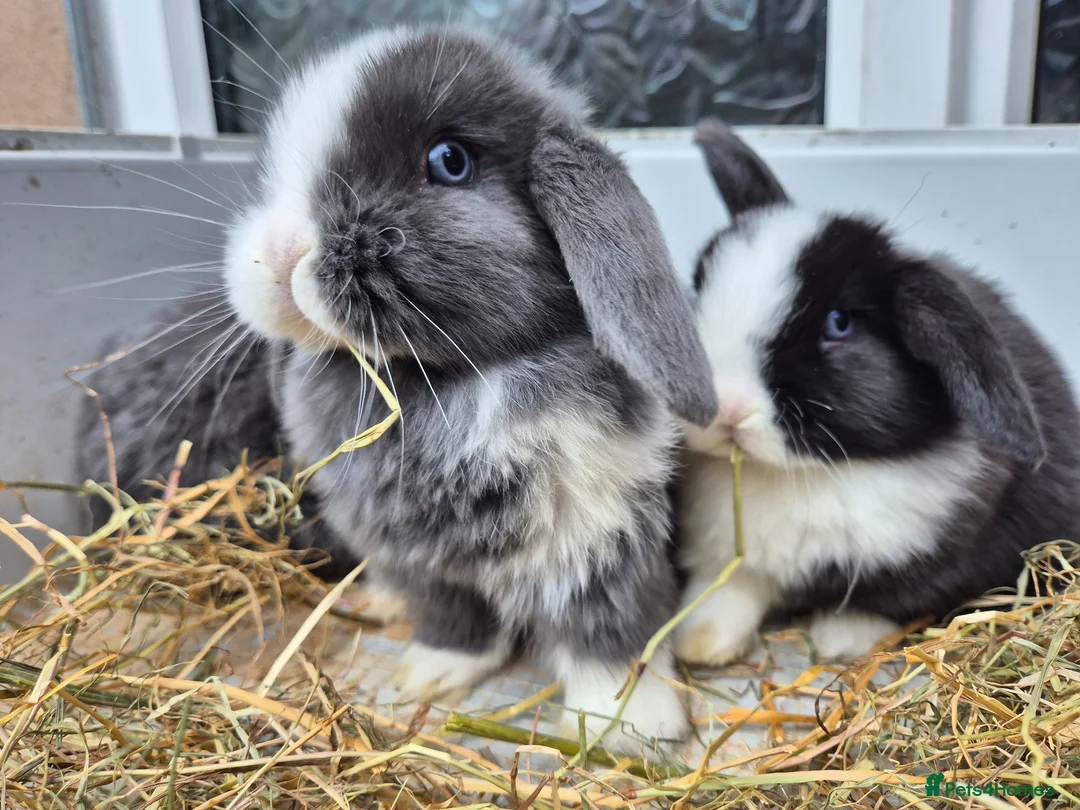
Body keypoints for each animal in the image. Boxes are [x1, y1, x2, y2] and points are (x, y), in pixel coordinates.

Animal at [75, 26, 718, 752]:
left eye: (449, 160)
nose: (280, 252)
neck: (439, 383)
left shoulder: (597, 533)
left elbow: (610, 630)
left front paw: (630, 727)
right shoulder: (417, 559)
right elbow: (454, 620)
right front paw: (431, 676)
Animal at [673, 118, 1080, 666]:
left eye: (839, 323)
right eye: (697, 284)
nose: (723, 409)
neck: (796, 474)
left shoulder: (940, 555)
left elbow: (886, 600)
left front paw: (840, 639)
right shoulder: (727, 551)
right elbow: (730, 585)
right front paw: (700, 640)